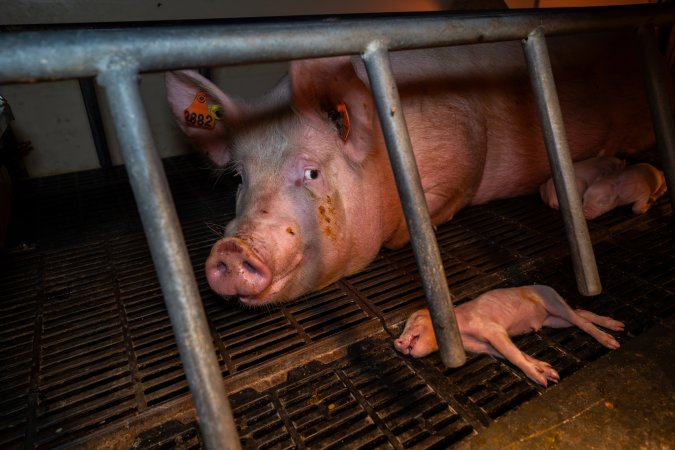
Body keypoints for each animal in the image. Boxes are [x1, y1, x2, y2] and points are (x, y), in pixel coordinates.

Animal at [394, 284, 624, 386]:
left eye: (415, 318)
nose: (396, 341)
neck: (463, 332)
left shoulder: (492, 329)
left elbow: (513, 355)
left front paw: (543, 381)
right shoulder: (483, 346)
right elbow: (515, 354)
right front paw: (550, 372)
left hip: (553, 302)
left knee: (581, 320)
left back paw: (613, 342)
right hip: (554, 321)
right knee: (581, 313)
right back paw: (618, 326)